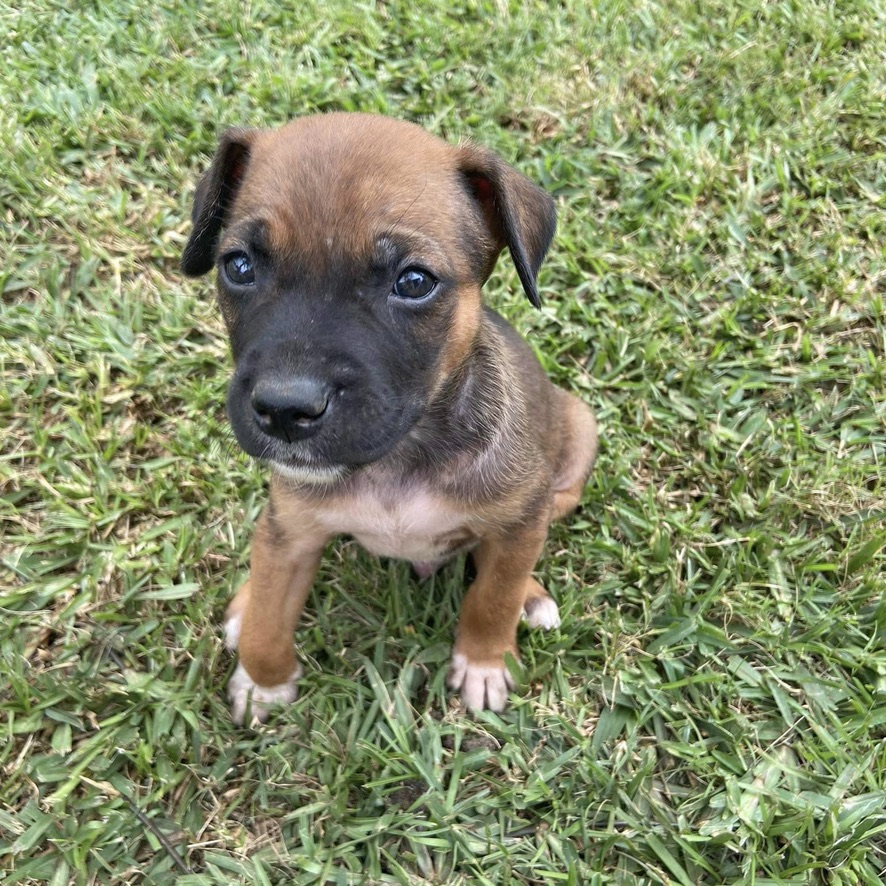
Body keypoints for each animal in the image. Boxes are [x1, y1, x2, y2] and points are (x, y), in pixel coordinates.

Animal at [181, 112, 600, 720]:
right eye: (238, 267)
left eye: (414, 281)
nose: (285, 409)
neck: (397, 459)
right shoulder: (294, 532)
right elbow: (269, 610)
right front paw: (263, 678)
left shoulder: (520, 520)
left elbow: (493, 595)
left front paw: (484, 660)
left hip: (576, 444)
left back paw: (532, 595)